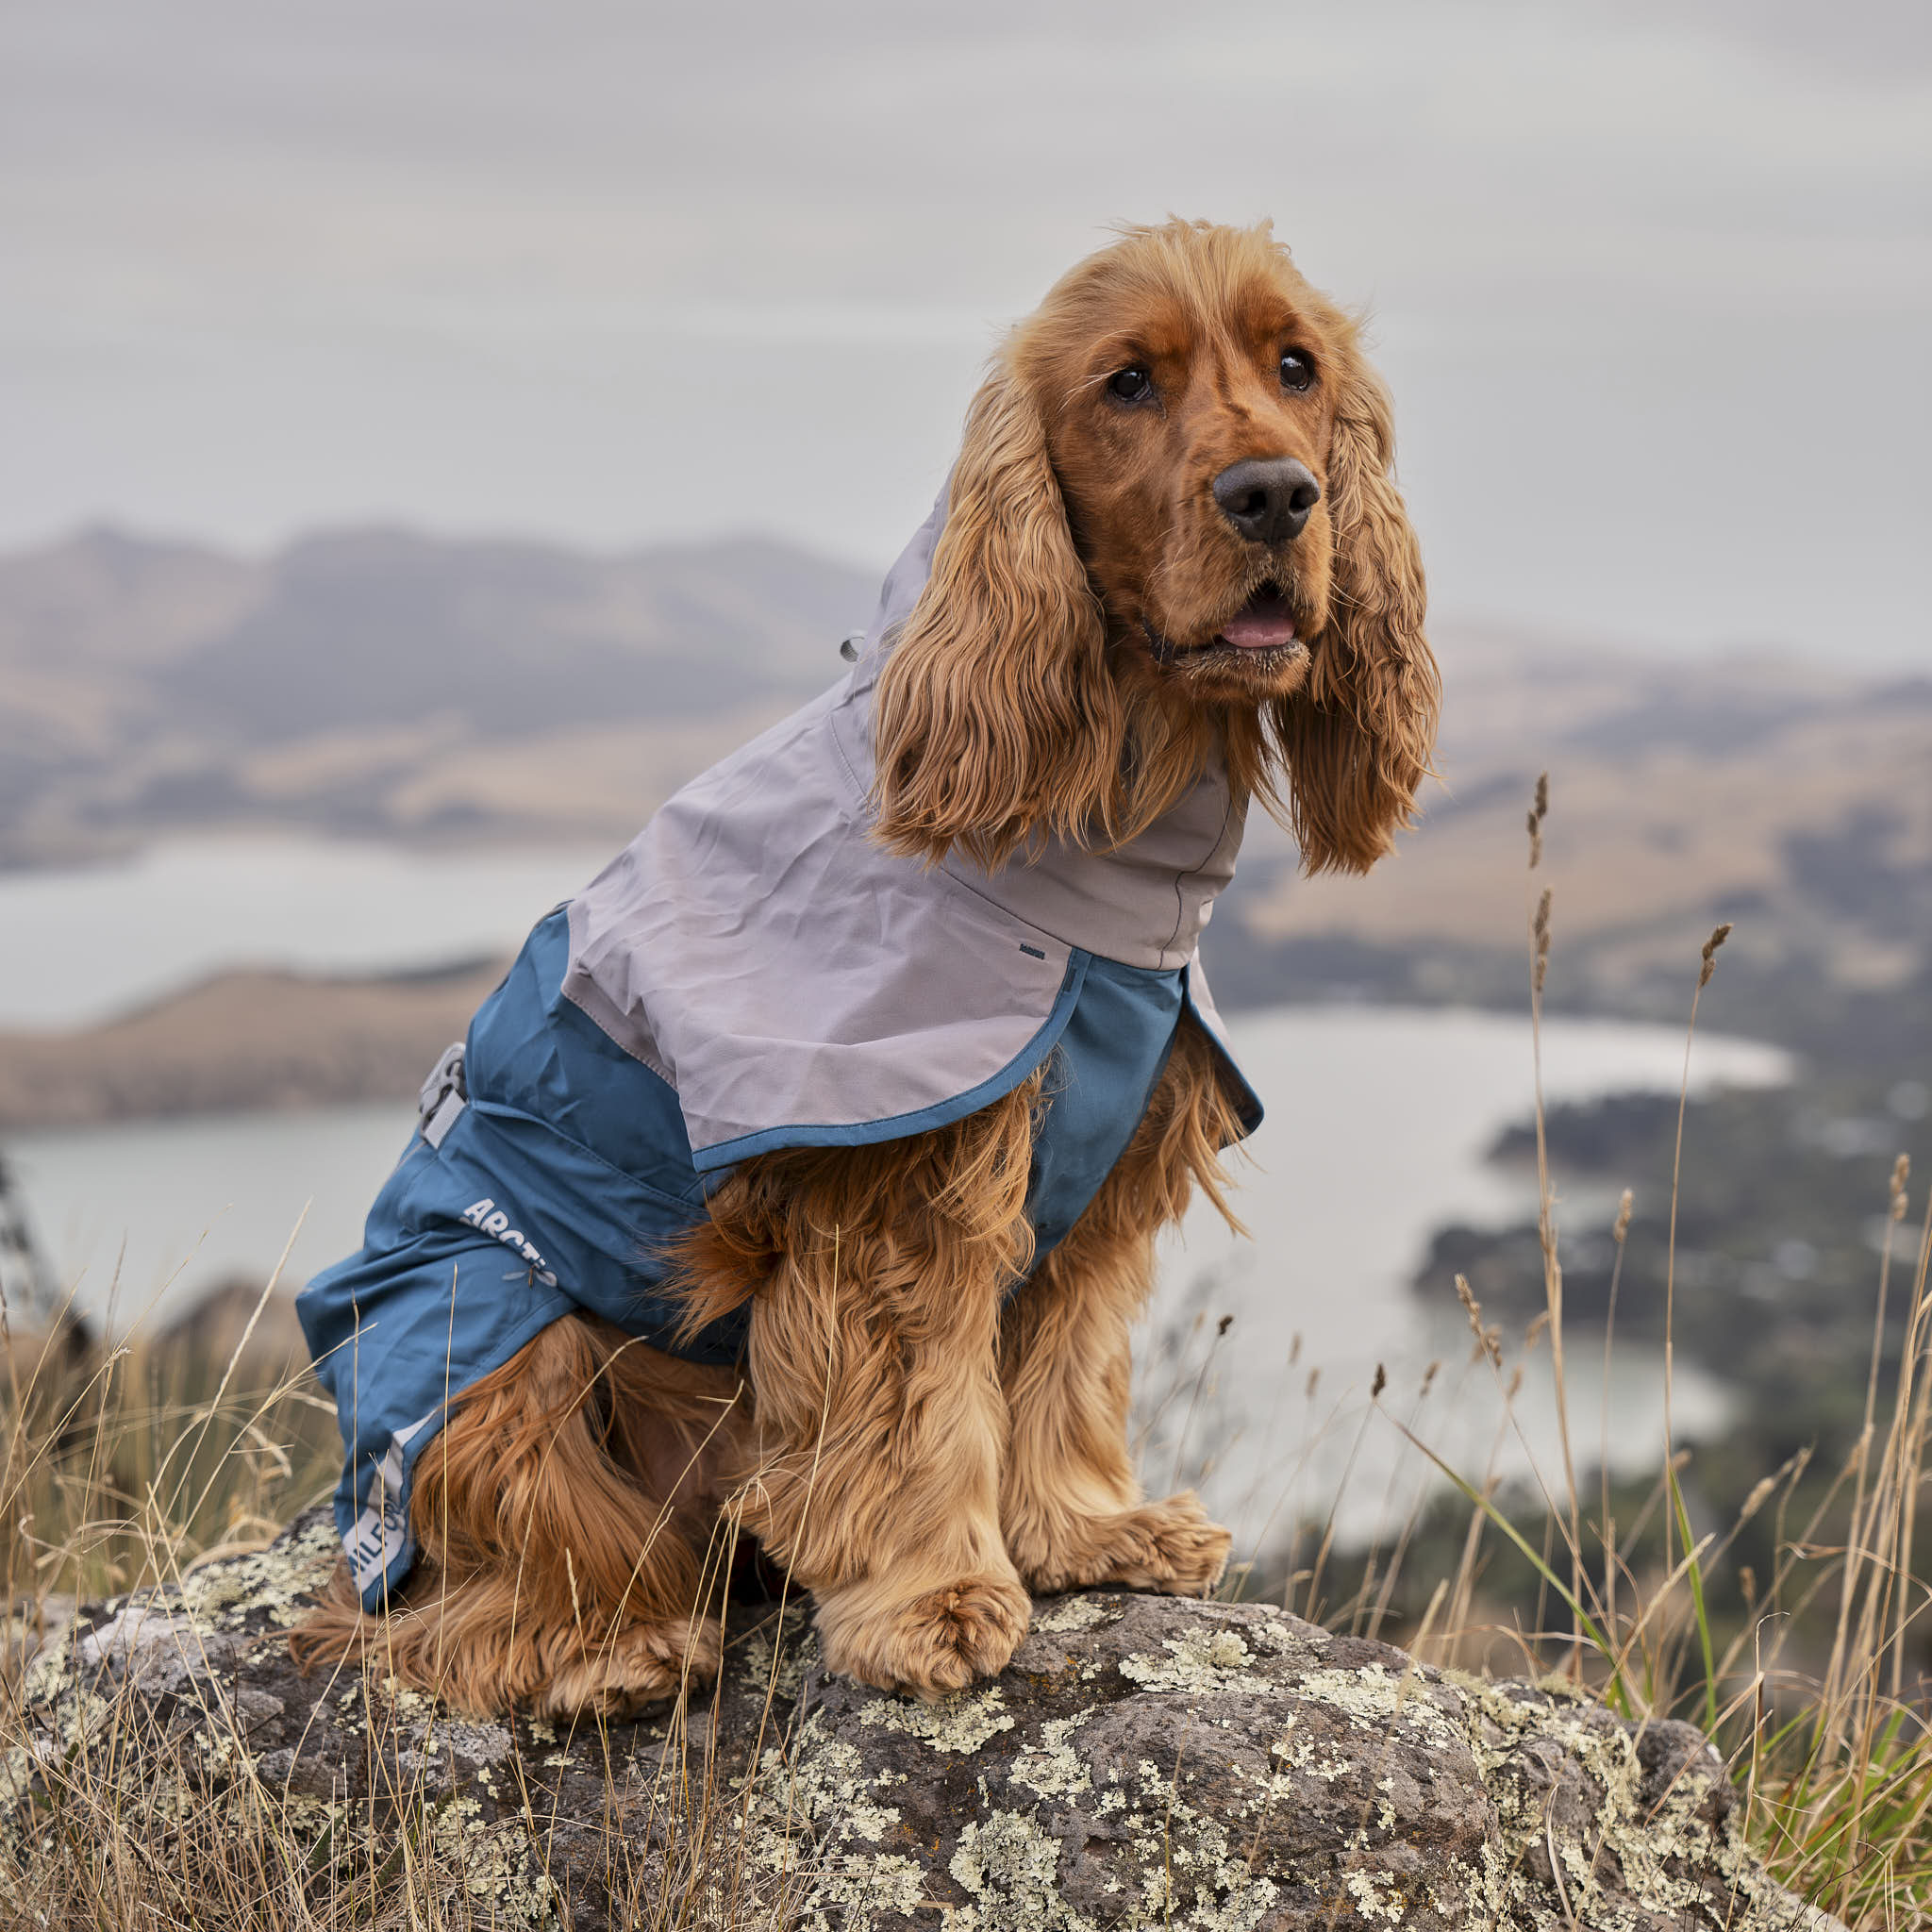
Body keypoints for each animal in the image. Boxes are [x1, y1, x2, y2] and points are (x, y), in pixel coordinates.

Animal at [286, 219, 1437, 1715]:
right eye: (1126, 383)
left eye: (1295, 367)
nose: (1277, 495)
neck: (1103, 837)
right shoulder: (897, 1191)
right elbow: (914, 1406)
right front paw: (934, 1597)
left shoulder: (1098, 1178)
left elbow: (1061, 1364)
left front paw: (1086, 1529)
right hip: (485, 1331)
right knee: (468, 1592)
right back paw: (611, 1648)